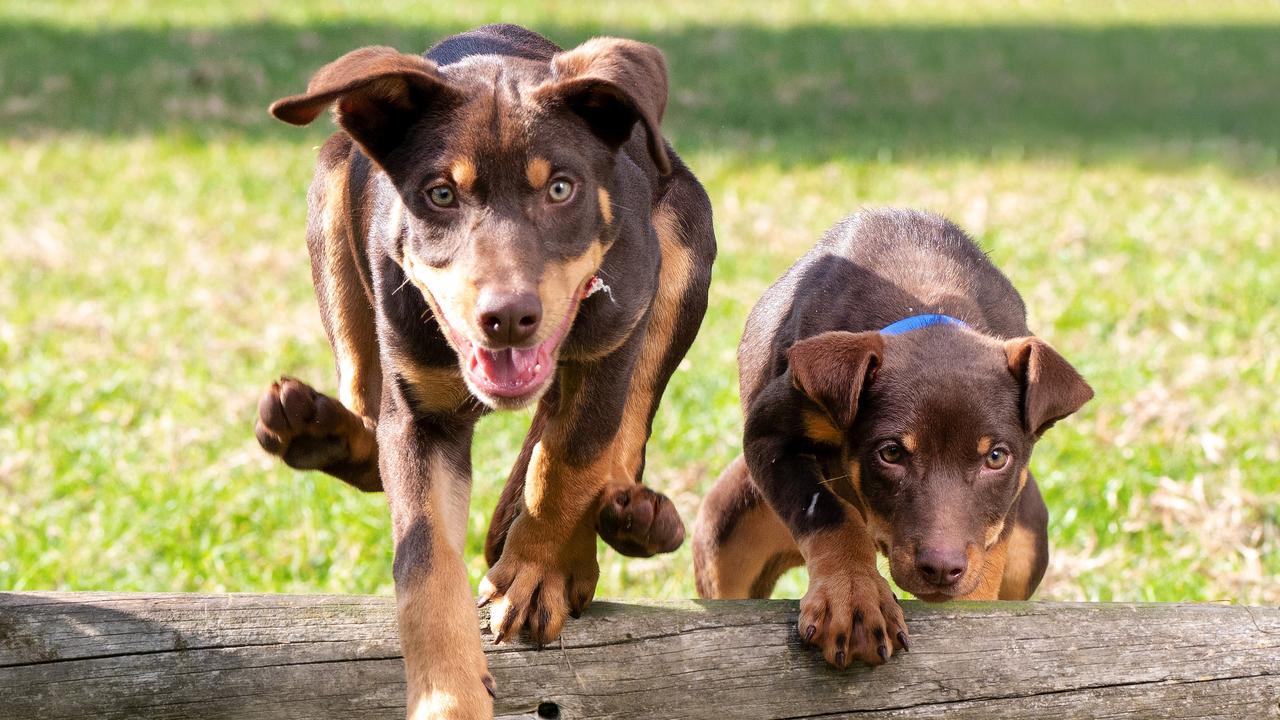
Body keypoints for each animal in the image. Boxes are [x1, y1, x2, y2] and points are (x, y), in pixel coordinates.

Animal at [254, 25, 716, 712]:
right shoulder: (419, 416)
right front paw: (447, 698)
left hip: (684, 241)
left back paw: (625, 524)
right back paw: (315, 430)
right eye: (440, 194)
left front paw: (537, 574)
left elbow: (568, 462)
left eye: (561, 188)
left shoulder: (612, 338)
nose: (509, 317)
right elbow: (423, 559)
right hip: (334, 195)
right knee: (365, 411)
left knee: (622, 441)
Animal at [691, 207, 1090, 666]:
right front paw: (852, 597)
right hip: (725, 539)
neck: (925, 301)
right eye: (891, 453)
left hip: (1031, 537)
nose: (941, 569)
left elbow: (986, 563)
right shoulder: (769, 437)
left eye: (996, 457)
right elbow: (827, 511)